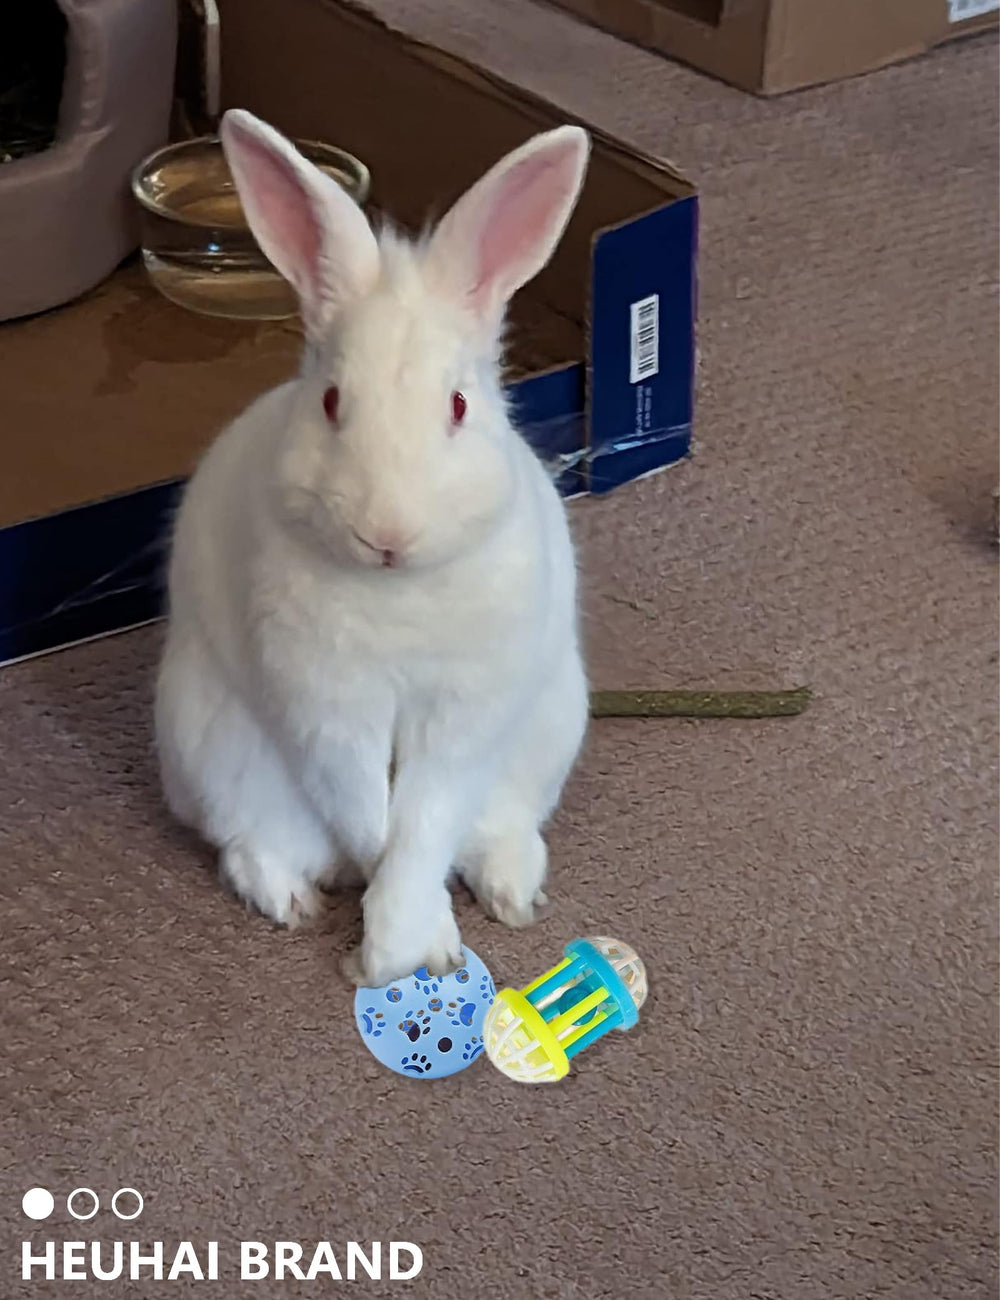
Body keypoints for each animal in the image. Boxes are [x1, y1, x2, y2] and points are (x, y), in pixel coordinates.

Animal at [155, 108, 591, 987]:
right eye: (330, 402)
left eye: (458, 405)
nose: (385, 533)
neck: (398, 588)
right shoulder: (326, 706)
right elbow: (369, 815)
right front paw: (416, 953)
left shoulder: (462, 714)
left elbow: (422, 825)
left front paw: (405, 949)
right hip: (207, 747)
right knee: (254, 843)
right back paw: (293, 898)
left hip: (552, 725)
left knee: (493, 828)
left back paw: (514, 896)